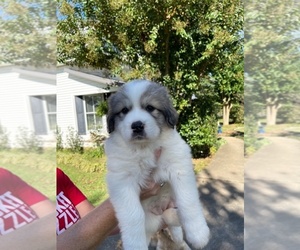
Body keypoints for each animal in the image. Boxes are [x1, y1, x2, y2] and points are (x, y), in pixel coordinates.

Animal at [104, 79, 210, 249]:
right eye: (124, 110)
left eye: (150, 108)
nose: (137, 125)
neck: (144, 147)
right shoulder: (122, 179)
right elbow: (134, 215)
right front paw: (135, 245)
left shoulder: (179, 163)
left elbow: (188, 200)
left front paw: (198, 233)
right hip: (153, 220)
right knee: (164, 219)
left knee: (170, 217)